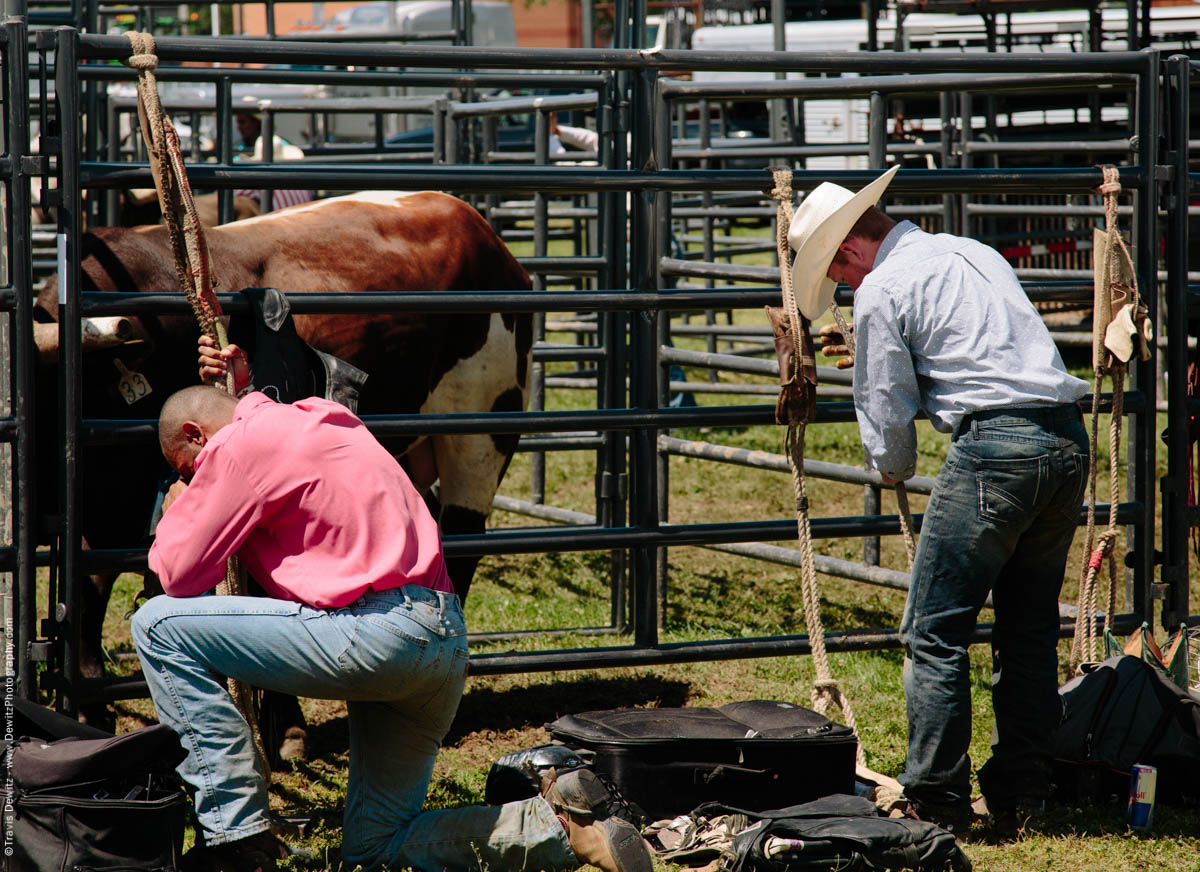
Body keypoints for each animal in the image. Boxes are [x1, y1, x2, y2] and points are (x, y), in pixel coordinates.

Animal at [35, 189, 532, 729]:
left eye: (61, 380)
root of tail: (479, 227)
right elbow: (89, 583)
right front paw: (91, 704)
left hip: (482, 428)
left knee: (462, 539)